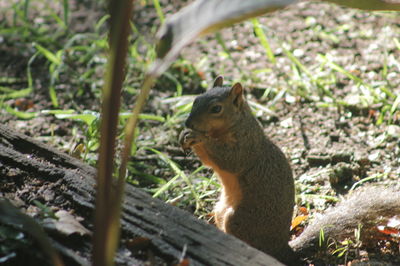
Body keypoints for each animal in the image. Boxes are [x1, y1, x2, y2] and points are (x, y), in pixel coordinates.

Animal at [180, 75, 400, 264]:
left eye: (216, 108)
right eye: (195, 100)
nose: (188, 122)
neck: (234, 124)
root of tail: (280, 248)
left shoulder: (246, 146)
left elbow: (228, 160)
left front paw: (198, 137)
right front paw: (185, 135)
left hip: (238, 219)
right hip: (220, 210)